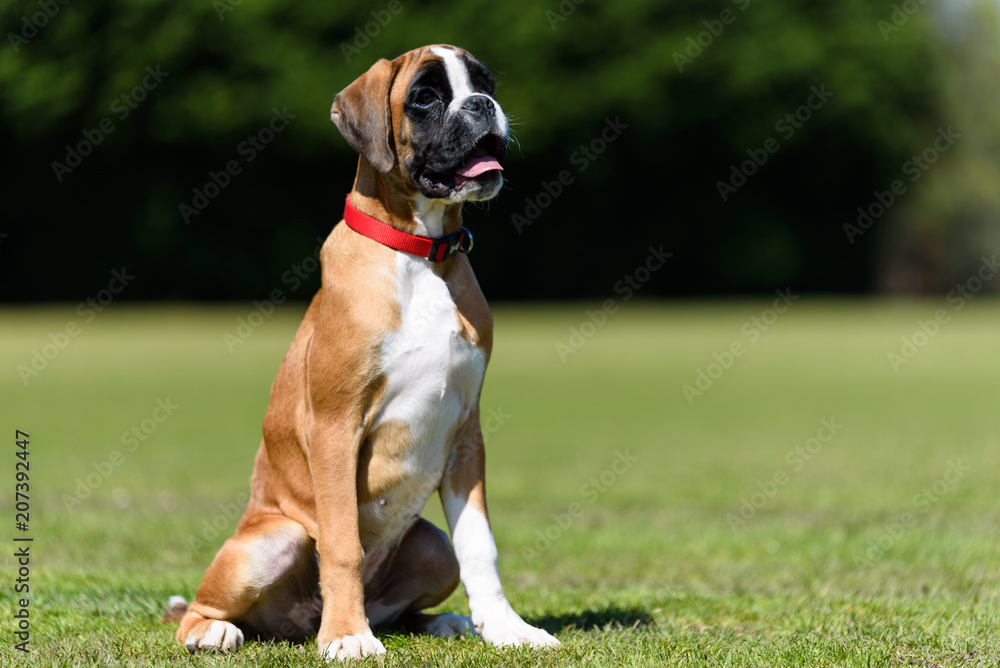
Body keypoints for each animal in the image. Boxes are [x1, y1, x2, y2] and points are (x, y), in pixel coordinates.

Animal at [173, 44, 564, 660]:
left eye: (485, 83)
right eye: (425, 97)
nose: (483, 105)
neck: (421, 251)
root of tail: (297, 622)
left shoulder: (467, 435)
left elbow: (481, 545)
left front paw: (508, 629)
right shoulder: (336, 427)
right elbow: (341, 544)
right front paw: (347, 637)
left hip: (431, 546)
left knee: (416, 590)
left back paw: (440, 622)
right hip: (272, 539)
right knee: (202, 606)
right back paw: (218, 630)